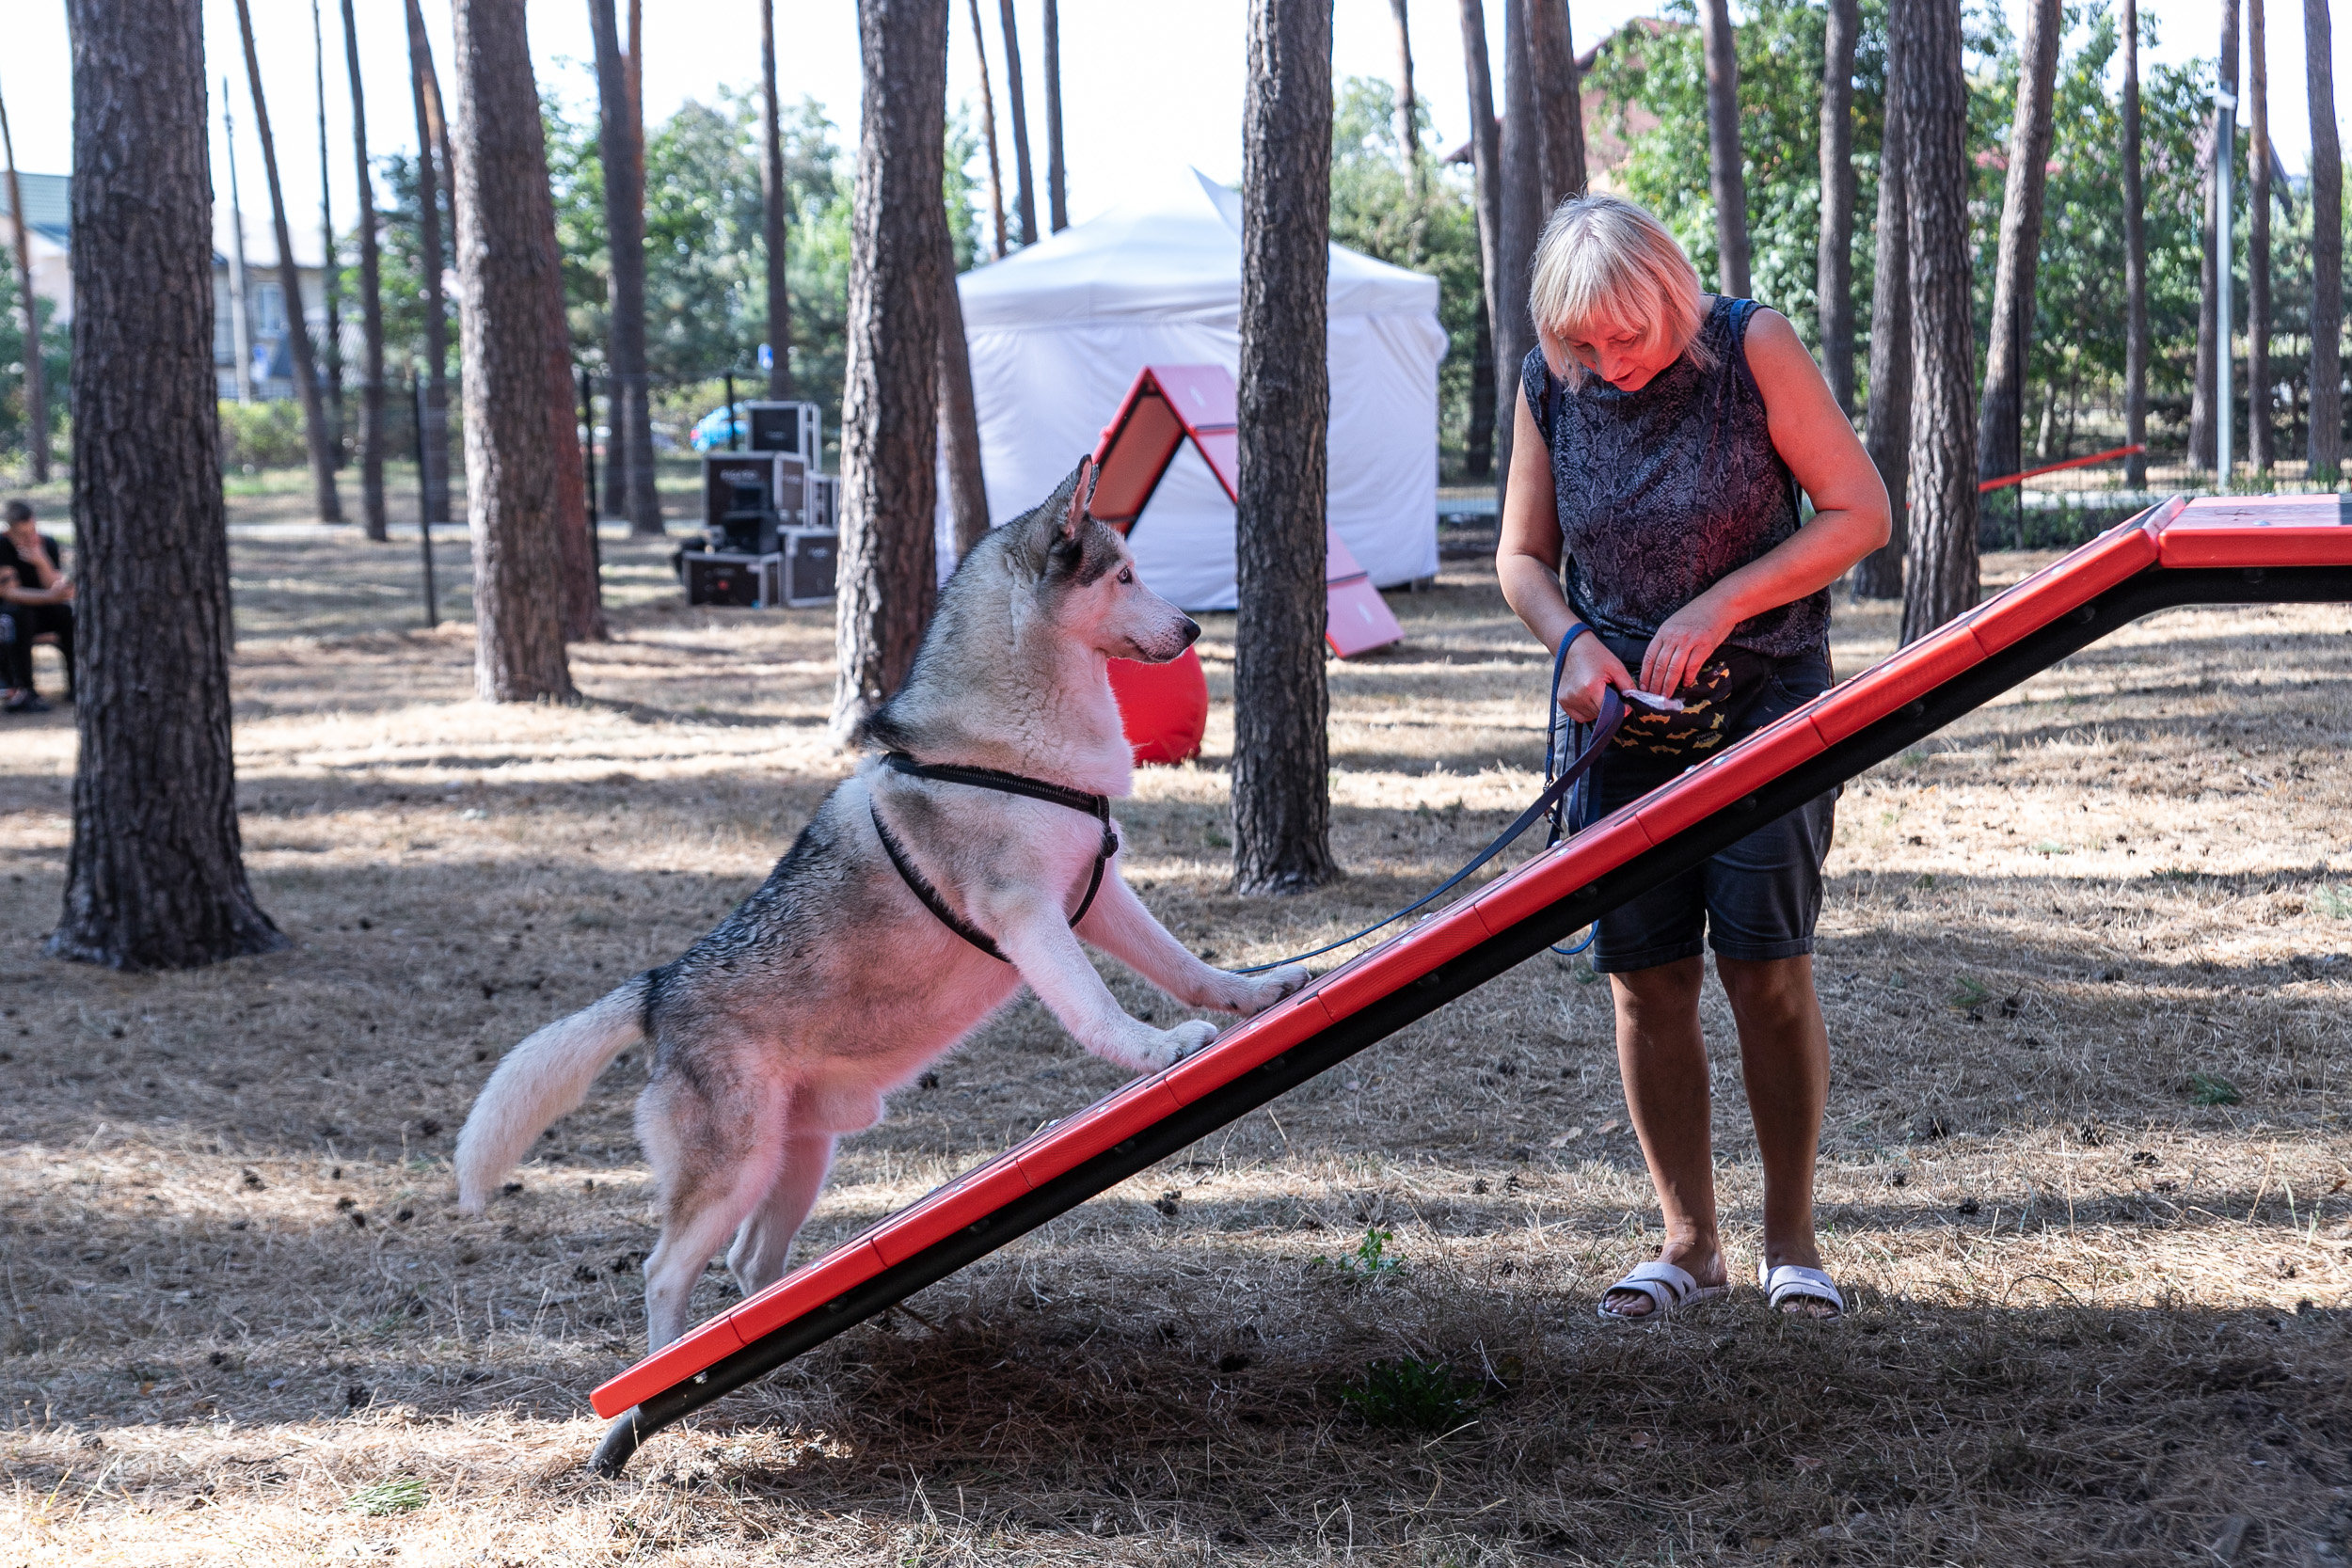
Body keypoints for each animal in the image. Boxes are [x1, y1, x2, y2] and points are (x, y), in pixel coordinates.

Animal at [456, 460, 1308, 1354]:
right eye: (1125, 576)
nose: (1194, 627)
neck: (1011, 740)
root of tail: (657, 988)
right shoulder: (1029, 915)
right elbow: (1096, 1007)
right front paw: (1155, 1049)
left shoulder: (1097, 893)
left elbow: (1184, 963)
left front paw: (1254, 991)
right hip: (735, 1168)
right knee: (666, 1273)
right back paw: (674, 1366)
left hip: (800, 1158)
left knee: (751, 1264)